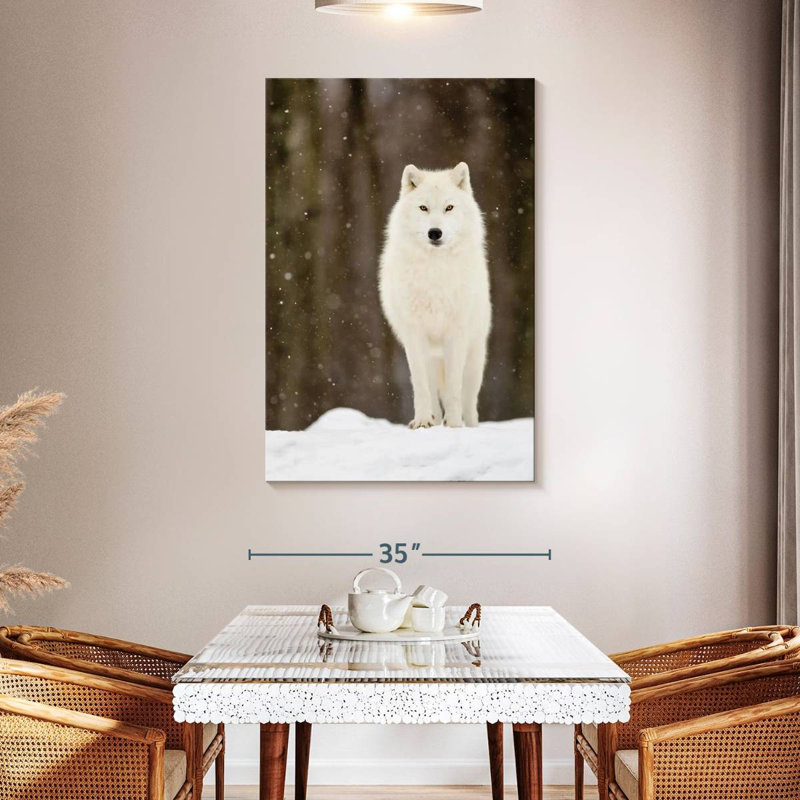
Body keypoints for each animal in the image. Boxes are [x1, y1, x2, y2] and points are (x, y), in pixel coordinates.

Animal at [379, 162, 491, 429]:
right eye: (424, 207)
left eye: (449, 207)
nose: (435, 232)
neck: (435, 272)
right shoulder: (414, 336)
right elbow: (421, 388)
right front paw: (422, 421)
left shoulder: (456, 335)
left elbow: (453, 390)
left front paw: (454, 425)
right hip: (430, 358)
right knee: (431, 391)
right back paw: (434, 420)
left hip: (474, 360)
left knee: (469, 402)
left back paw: (468, 425)